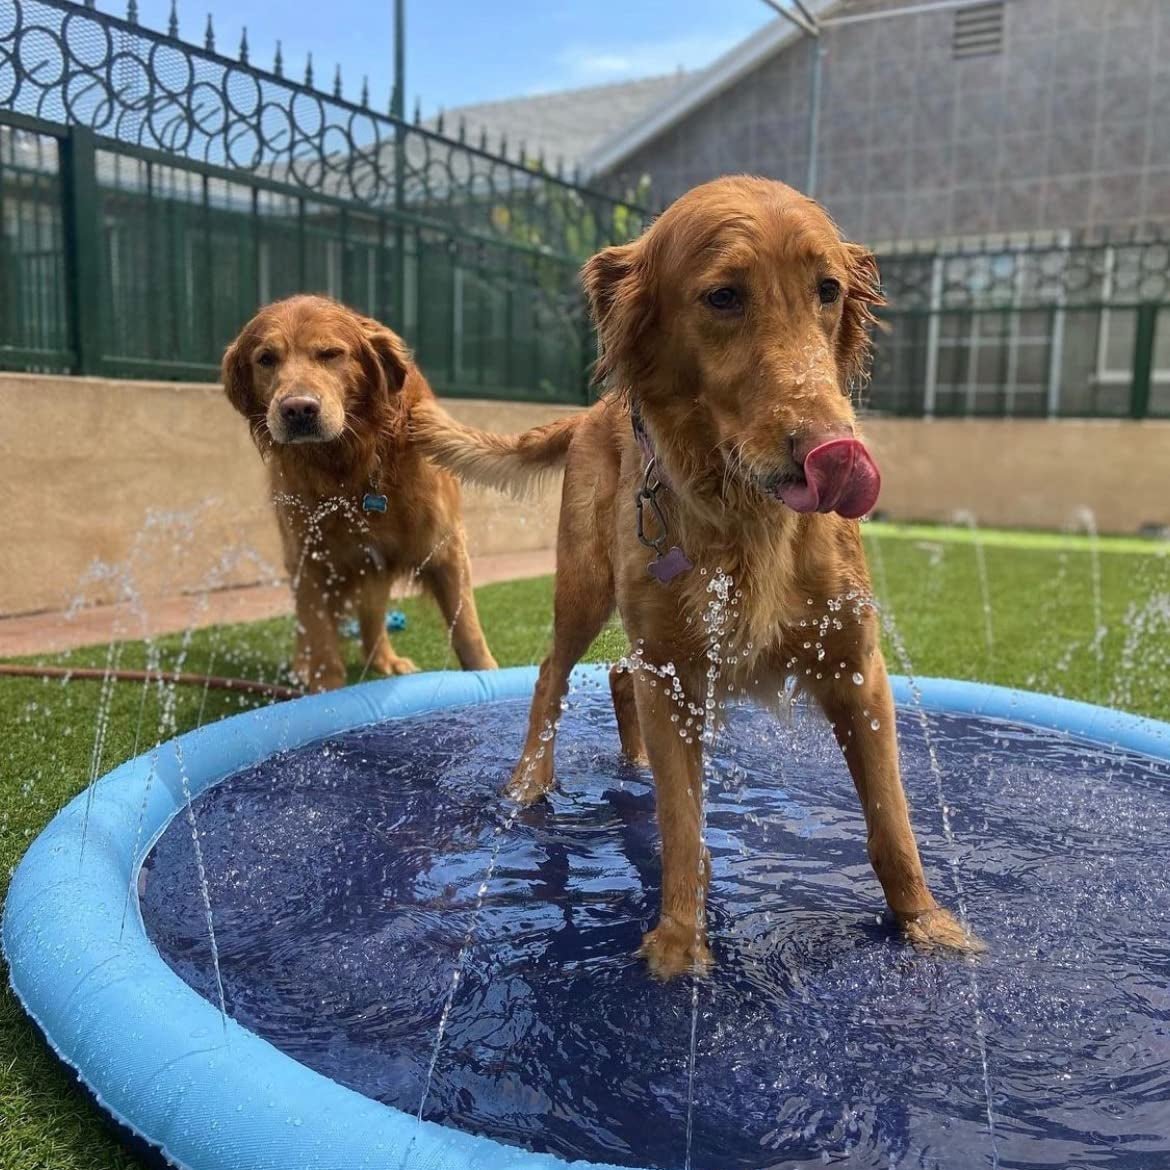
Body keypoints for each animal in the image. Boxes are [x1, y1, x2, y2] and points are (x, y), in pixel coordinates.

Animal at [223, 297, 498, 687]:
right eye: (266, 359)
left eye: (330, 354)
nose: (298, 409)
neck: (352, 464)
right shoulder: (310, 559)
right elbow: (321, 640)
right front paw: (325, 692)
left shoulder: (445, 546)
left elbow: (468, 630)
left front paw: (492, 678)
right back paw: (301, 666)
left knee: (373, 615)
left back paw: (385, 660)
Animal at [416, 175, 982, 978]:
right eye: (723, 296)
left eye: (829, 290)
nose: (835, 450)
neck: (746, 510)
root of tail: (588, 413)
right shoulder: (677, 674)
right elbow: (682, 826)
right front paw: (679, 948)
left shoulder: (855, 665)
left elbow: (892, 822)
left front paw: (927, 925)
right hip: (585, 588)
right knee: (553, 674)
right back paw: (529, 782)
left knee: (619, 674)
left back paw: (630, 762)